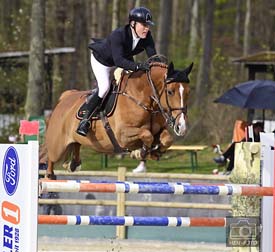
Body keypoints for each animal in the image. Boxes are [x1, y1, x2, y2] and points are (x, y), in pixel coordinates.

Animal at [44, 58, 193, 178]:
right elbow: (146, 134)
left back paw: (73, 164)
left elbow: (167, 138)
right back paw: (49, 176)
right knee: (50, 156)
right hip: (57, 146)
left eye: (188, 92)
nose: (182, 127)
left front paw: (154, 152)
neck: (142, 98)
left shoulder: (158, 130)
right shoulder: (123, 135)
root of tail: (64, 98)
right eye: (170, 92)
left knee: (75, 146)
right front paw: (140, 152)